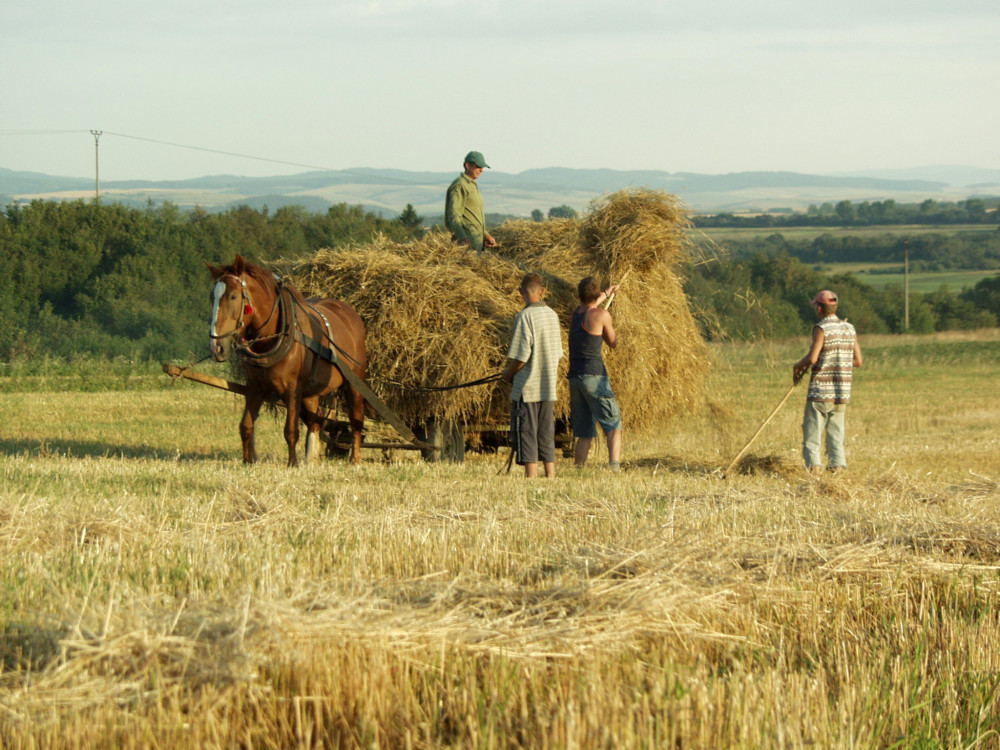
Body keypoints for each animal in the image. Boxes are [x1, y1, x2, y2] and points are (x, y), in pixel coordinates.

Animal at [205, 256, 366, 468]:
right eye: (212, 297)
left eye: (233, 296)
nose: (216, 347)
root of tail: (350, 312)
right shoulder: (255, 387)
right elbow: (246, 425)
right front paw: (248, 461)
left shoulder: (292, 388)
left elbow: (290, 430)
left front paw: (293, 464)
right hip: (311, 392)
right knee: (315, 422)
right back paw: (311, 460)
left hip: (354, 382)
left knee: (356, 420)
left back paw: (355, 459)